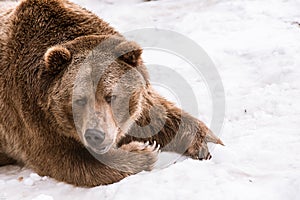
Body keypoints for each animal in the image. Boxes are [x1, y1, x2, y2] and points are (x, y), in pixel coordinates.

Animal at [0, 0, 223, 188]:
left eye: (111, 96)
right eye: (78, 100)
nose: (95, 135)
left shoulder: (138, 100)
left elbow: (159, 115)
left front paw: (204, 143)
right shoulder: (33, 119)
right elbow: (71, 160)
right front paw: (144, 151)